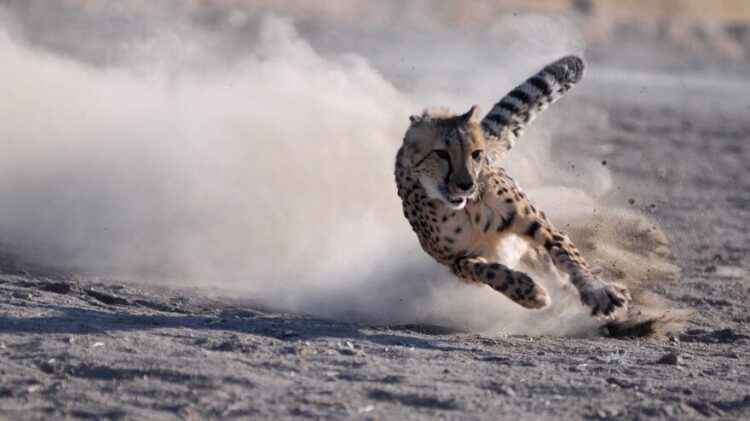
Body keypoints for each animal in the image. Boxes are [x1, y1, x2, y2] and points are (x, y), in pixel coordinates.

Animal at [394, 55, 630, 316]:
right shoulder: (456, 262)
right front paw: (530, 293)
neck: (464, 210)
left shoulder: (536, 223)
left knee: (553, 270)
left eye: (476, 154)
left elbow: (567, 254)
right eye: (441, 154)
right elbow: (490, 272)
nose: (467, 185)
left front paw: (598, 291)